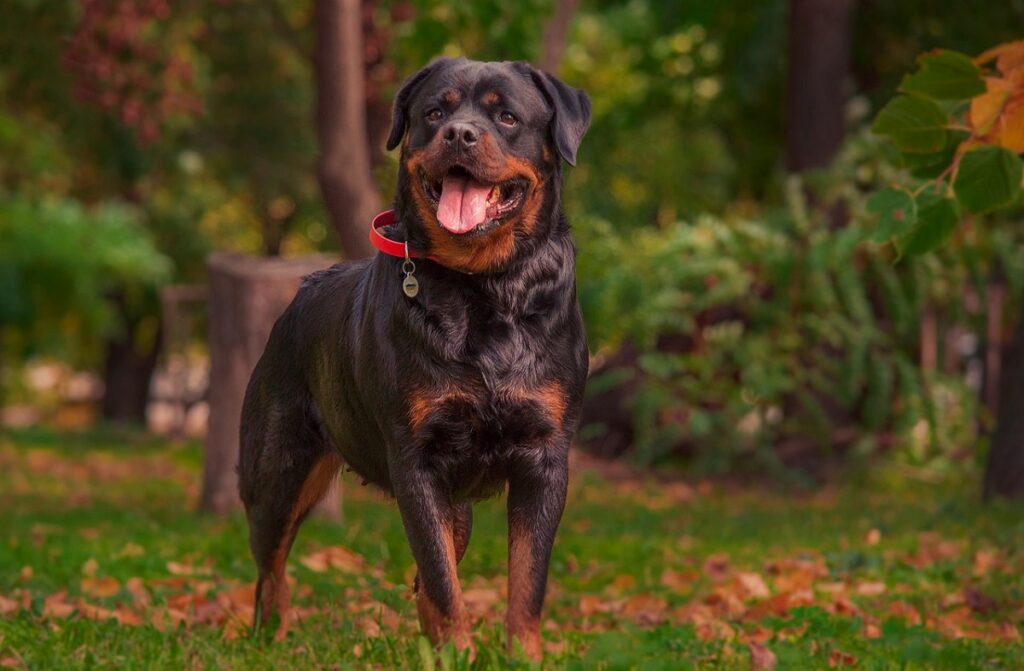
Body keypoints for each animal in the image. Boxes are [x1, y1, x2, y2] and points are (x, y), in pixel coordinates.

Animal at [237, 59, 593, 659]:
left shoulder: (545, 457)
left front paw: (520, 656)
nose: (460, 134)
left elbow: (525, 581)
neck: (482, 288)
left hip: (456, 504)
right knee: (271, 566)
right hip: (276, 472)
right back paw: (271, 636)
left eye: (506, 116)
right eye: (434, 112)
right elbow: (445, 584)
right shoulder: (416, 461)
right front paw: (459, 655)